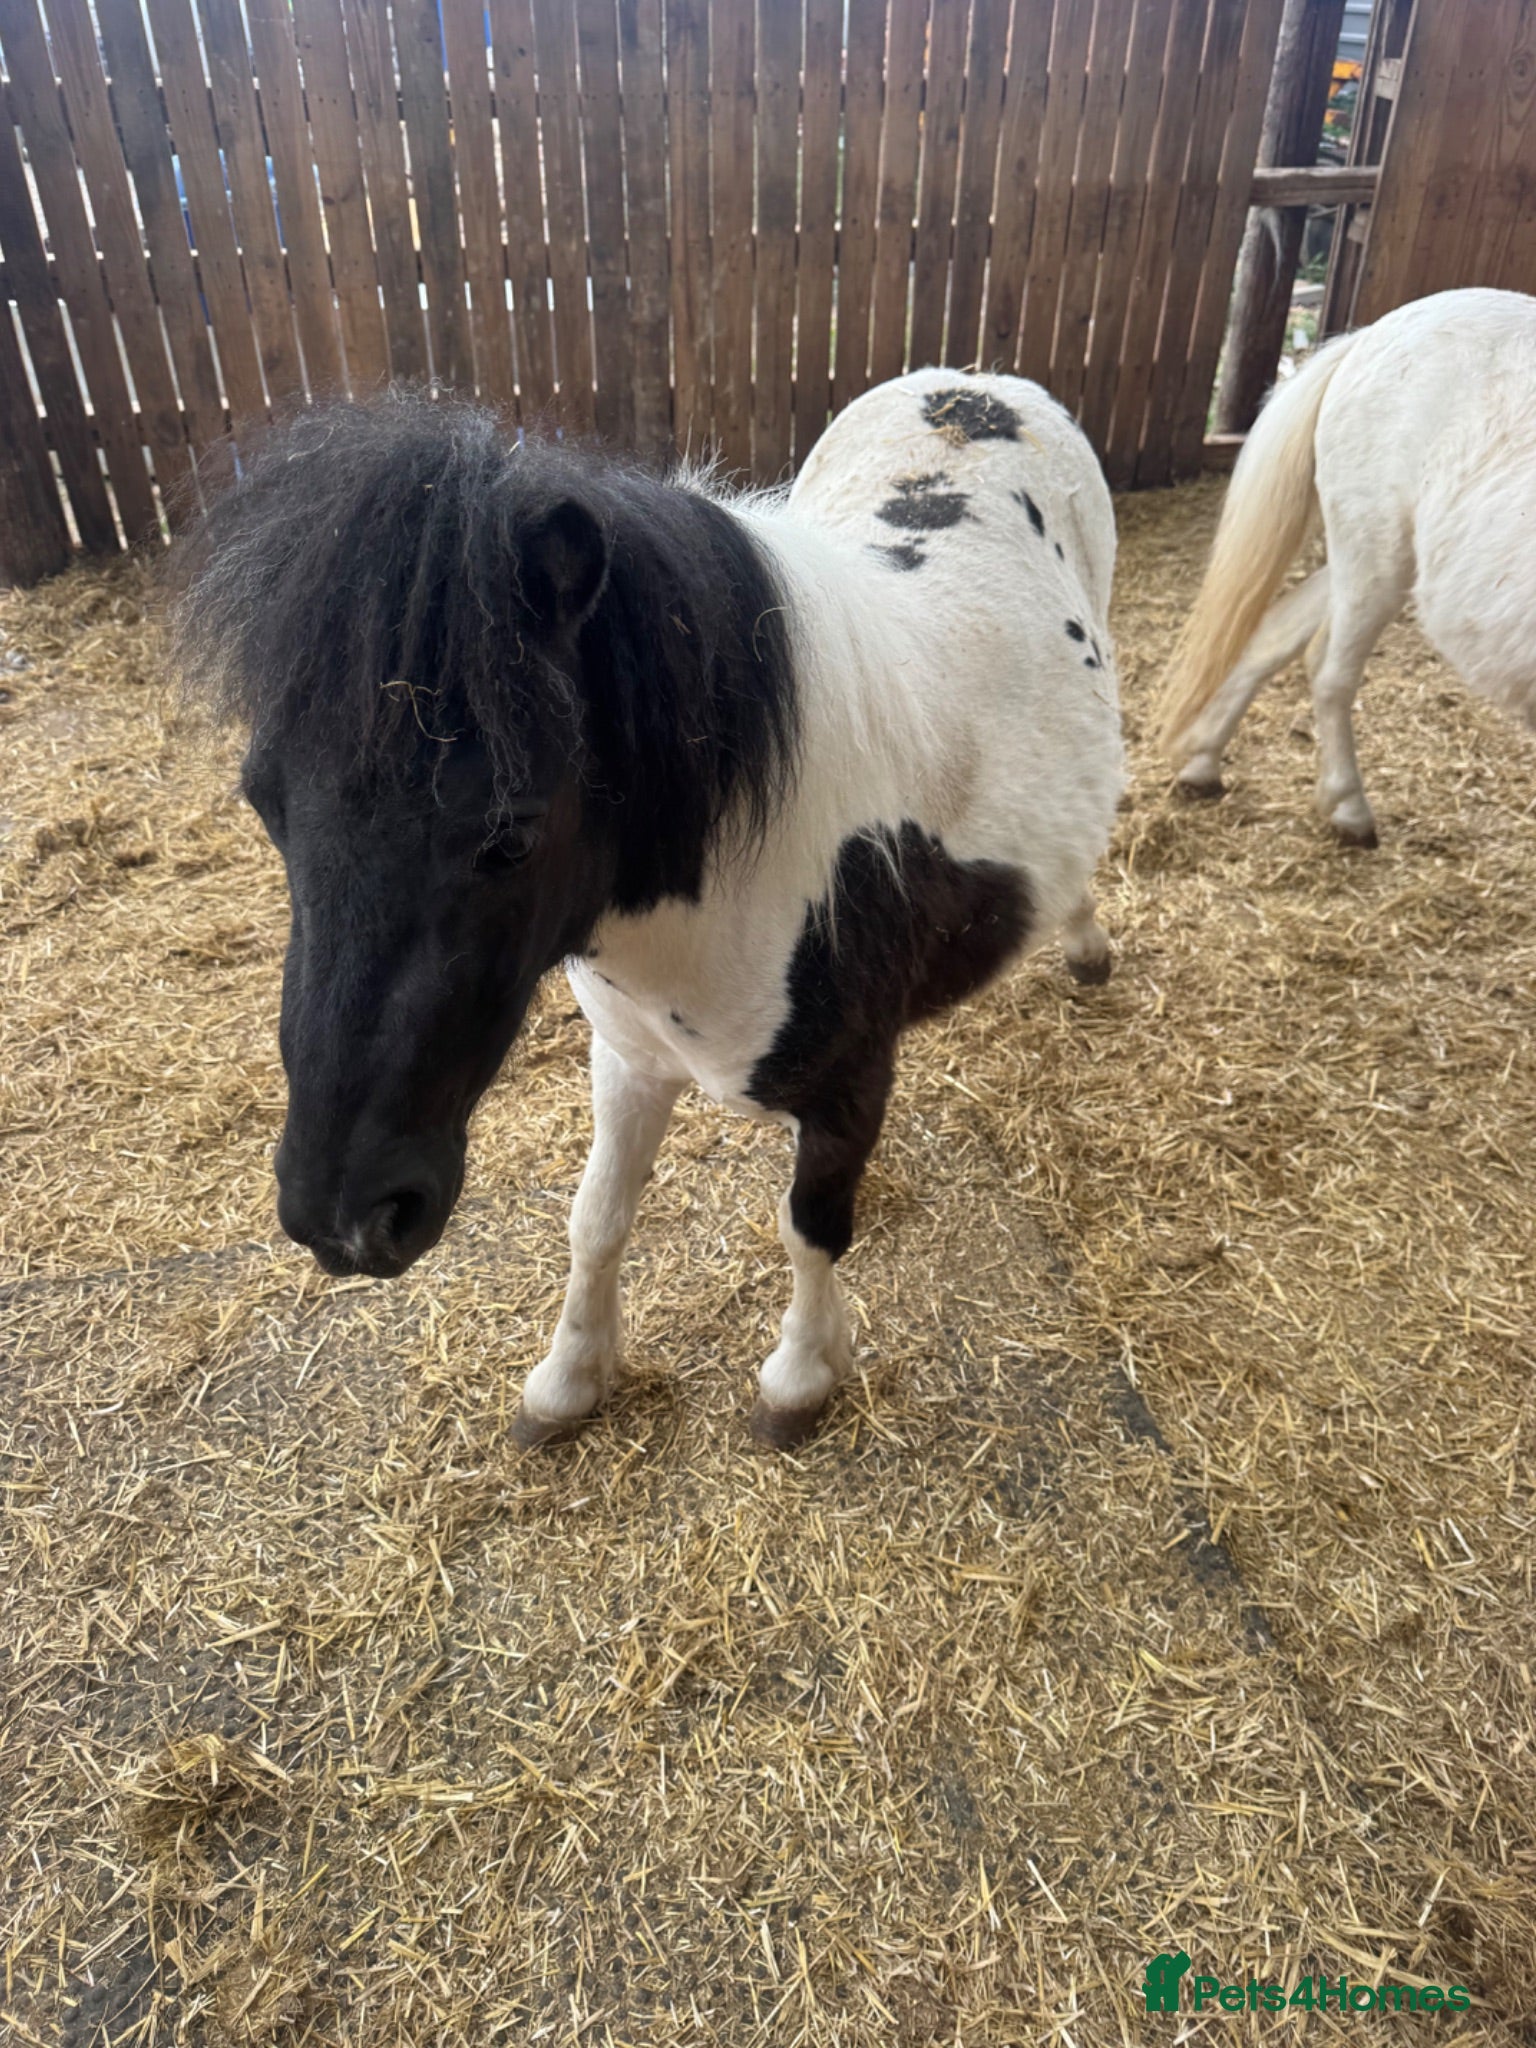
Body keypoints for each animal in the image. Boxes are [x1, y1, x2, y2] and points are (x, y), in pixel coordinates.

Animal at [172, 371, 1123, 1449]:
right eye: (265, 803)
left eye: (511, 831)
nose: (341, 1220)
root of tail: (974, 386)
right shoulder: (627, 1057)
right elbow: (596, 1218)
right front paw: (569, 1378)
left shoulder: (849, 1088)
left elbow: (811, 1227)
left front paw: (800, 1378)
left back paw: (1085, 943)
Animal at [1159, 288, 1536, 845]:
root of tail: (1369, 336)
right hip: (1374, 557)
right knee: (1330, 670)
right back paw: (1347, 808)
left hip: (1362, 555)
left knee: (1276, 633)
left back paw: (1203, 762)